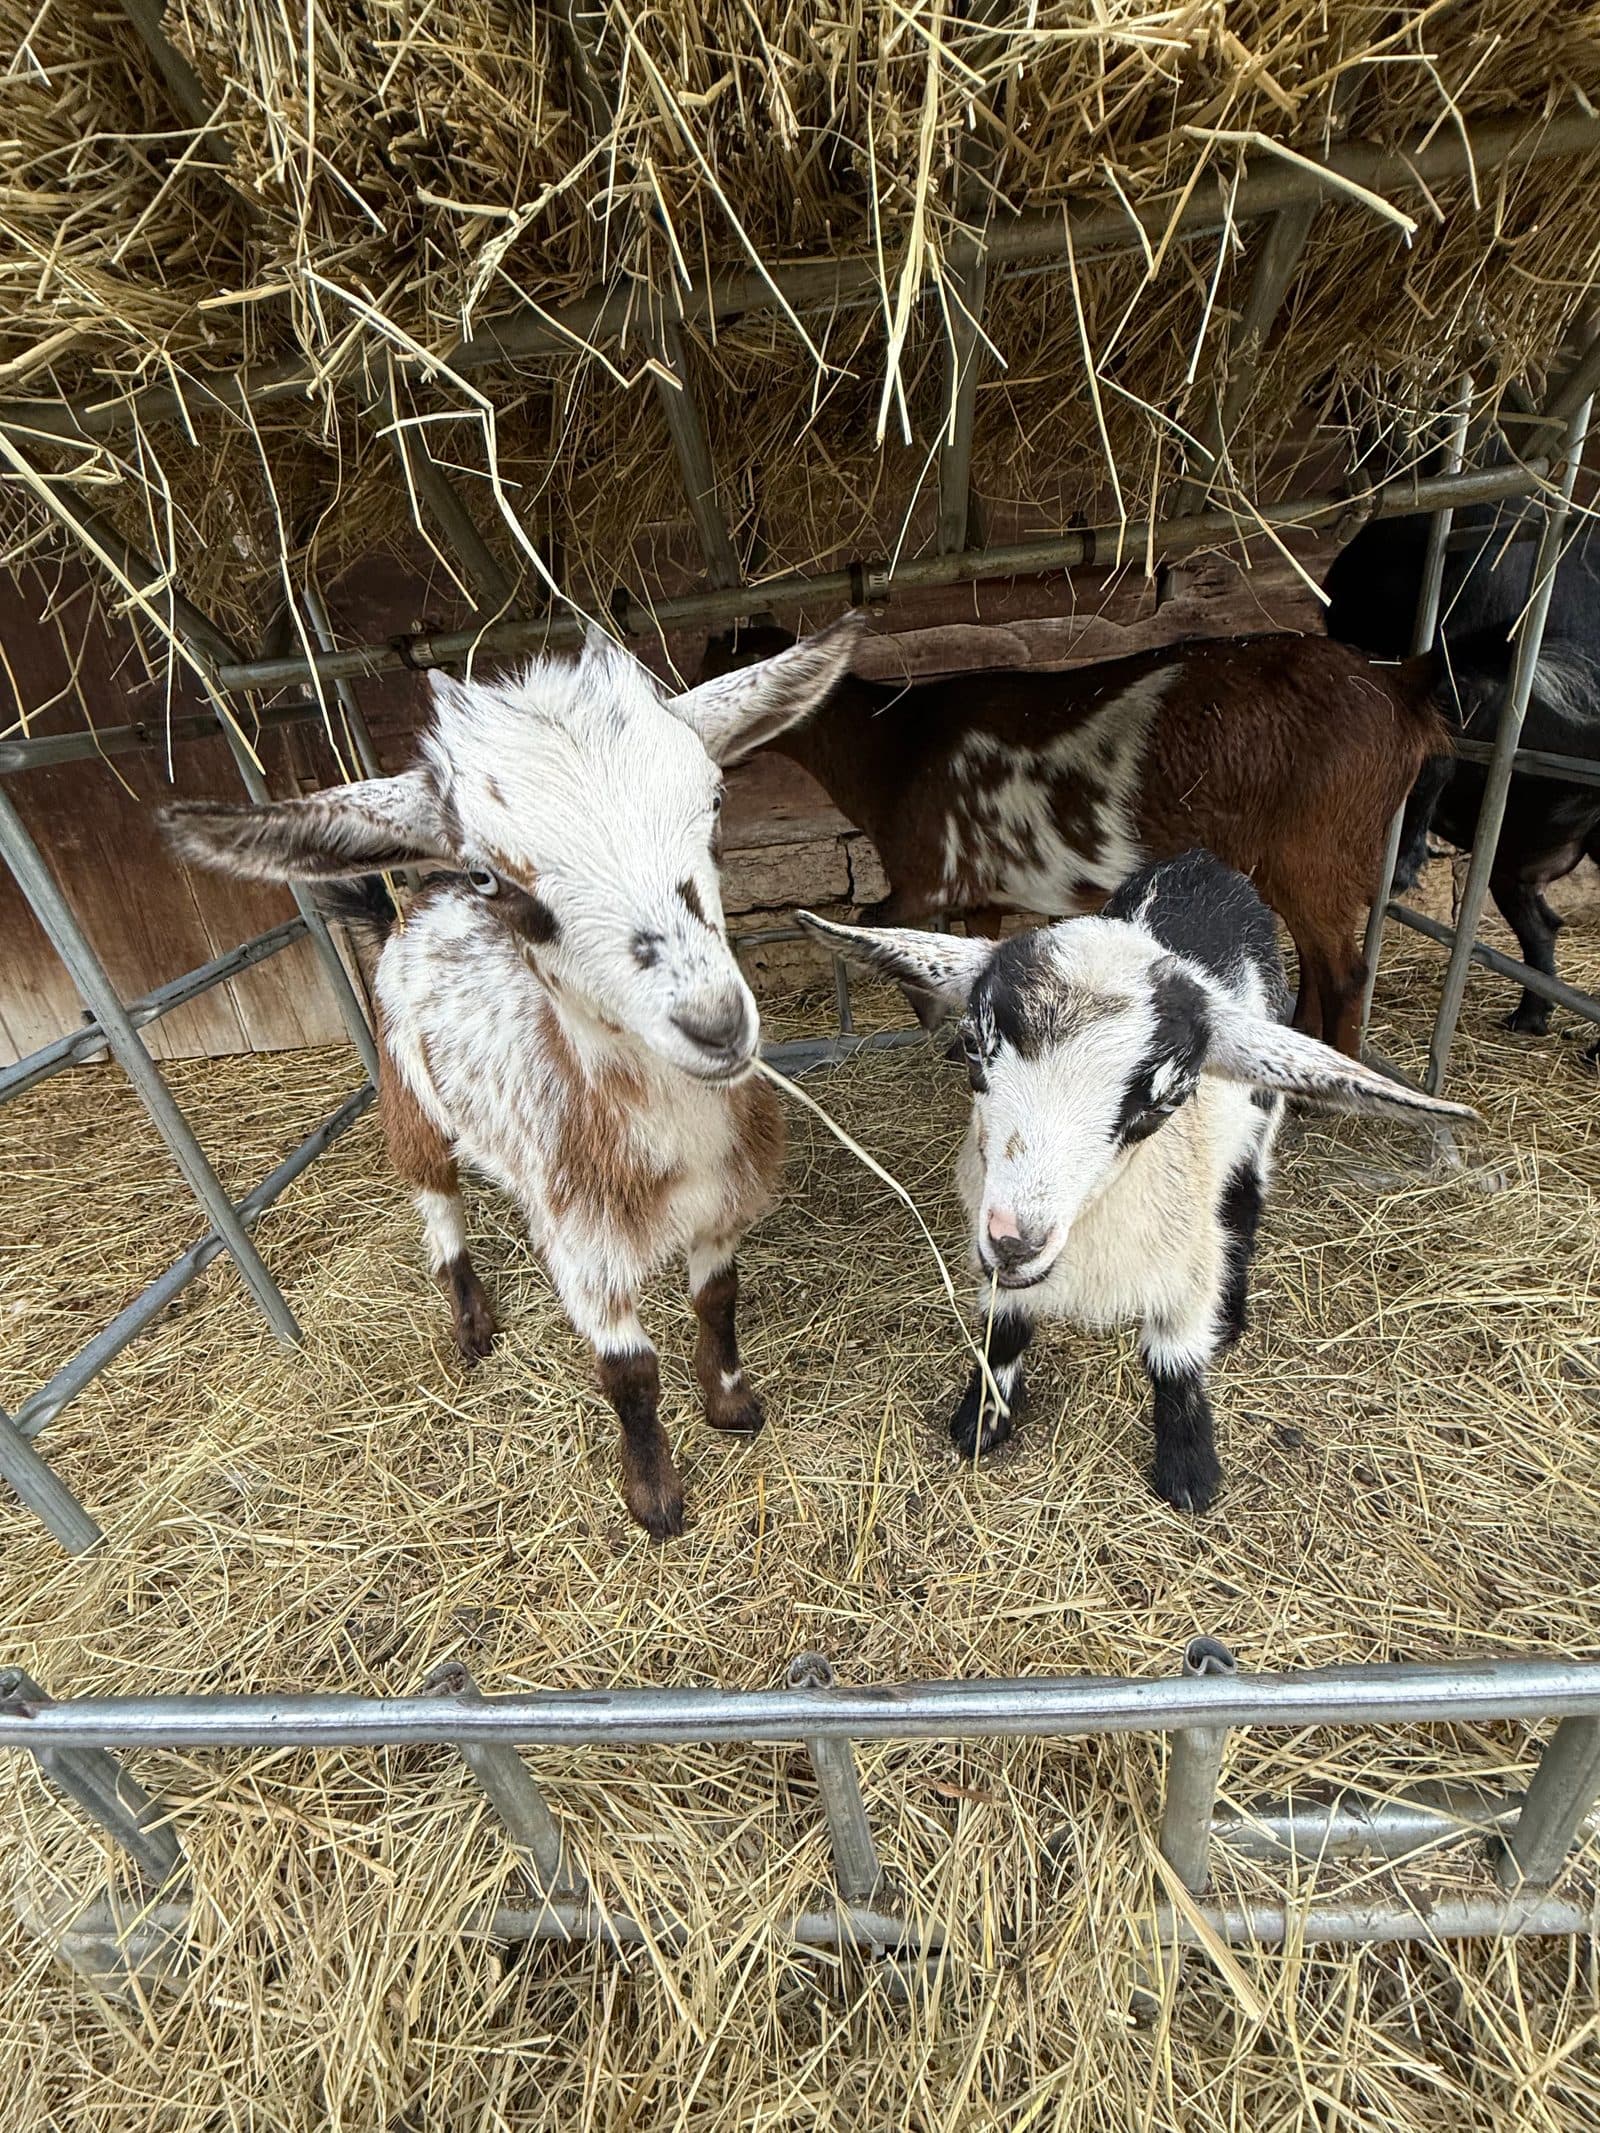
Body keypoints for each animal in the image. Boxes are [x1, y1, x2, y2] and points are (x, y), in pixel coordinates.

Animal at [160, 616, 861, 1540]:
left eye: (714, 798)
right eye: (492, 874)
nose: (714, 1022)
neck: (674, 1144)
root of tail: (413, 904)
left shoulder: (725, 1207)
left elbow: (719, 1301)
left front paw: (731, 1404)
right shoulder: (583, 1248)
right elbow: (629, 1373)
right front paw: (655, 1498)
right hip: (408, 1099)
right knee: (437, 1207)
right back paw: (470, 1322)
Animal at [700, 627, 1451, 1056]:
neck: (894, 746)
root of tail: (1398, 688)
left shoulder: (926, 873)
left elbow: (867, 920)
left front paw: (932, 1017)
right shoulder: (981, 890)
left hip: (1317, 848)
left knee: (1346, 971)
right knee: (1320, 962)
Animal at [800, 850, 1472, 1513]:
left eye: (1163, 1101)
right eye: (971, 1049)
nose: (1018, 1242)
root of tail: (1205, 862)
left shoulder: (1185, 1250)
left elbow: (1173, 1357)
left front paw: (1189, 1470)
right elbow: (1005, 1327)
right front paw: (983, 1418)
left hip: (1259, 1113)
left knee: (1246, 1199)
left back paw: (1232, 1313)